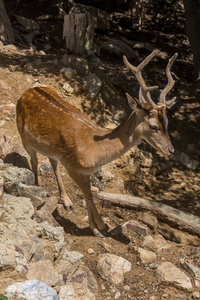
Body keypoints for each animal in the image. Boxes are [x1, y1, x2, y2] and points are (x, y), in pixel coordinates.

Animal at [16, 50, 177, 238]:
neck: (95, 150)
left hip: (51, 149)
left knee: (52, 162)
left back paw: (67, 201)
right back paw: (37, 187)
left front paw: (94, 228)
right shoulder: (71, 165)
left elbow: (88, 194)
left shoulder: (85, 170)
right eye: (153, 126)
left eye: (167, 122)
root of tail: (28, 91)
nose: (171, 150)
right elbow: (88, 194)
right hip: (24, 137)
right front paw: (102, 226)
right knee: (34, 160)